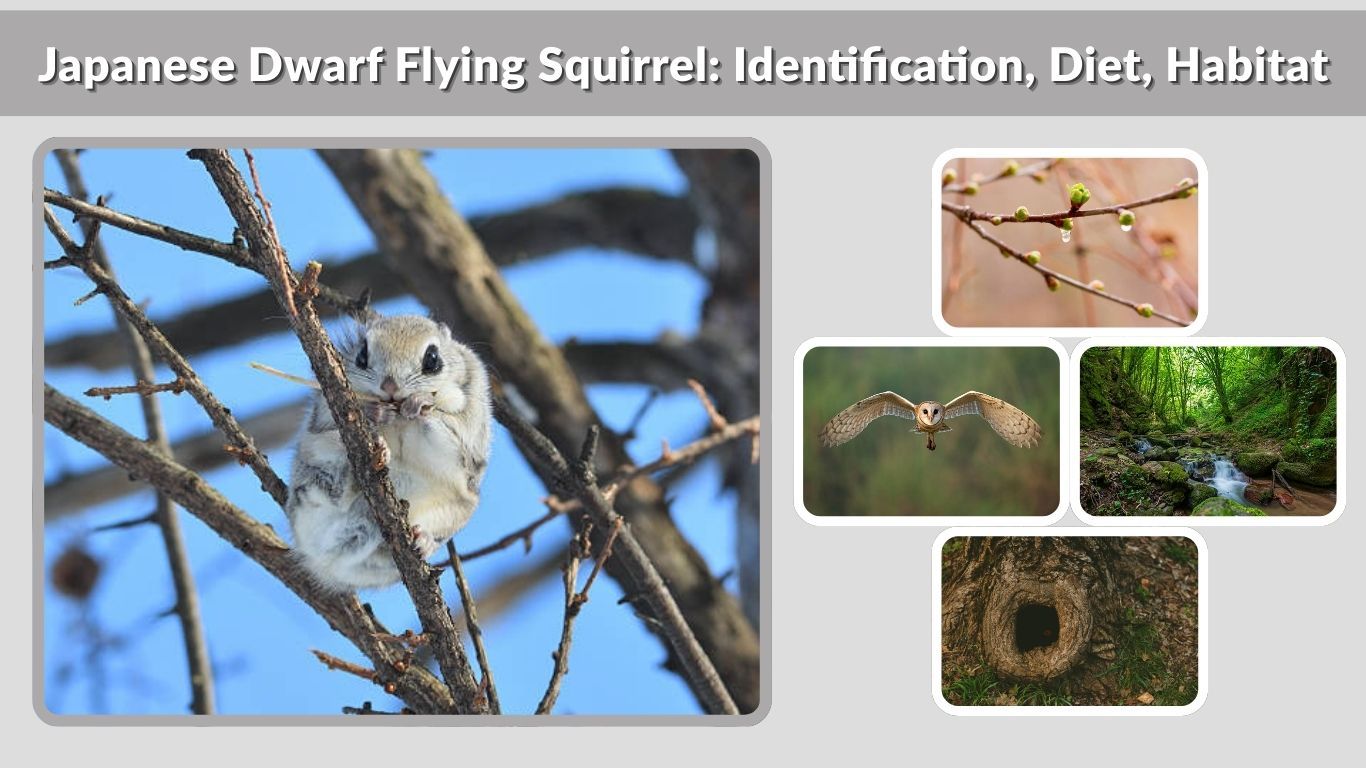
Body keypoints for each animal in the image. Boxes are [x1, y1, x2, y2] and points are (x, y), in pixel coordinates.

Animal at [284, 315, 493, 592]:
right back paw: (369, 459)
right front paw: (374, 412)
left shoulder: (469, 438)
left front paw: (420, 403)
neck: (399, 420)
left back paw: (423, 540)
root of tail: (322, 563)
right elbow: (329, 418)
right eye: (362, 355)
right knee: (331, 489)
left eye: (432, 359)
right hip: (312, 467)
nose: (390, 386)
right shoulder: (323, 409)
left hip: (456, 511)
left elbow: (452, 437)